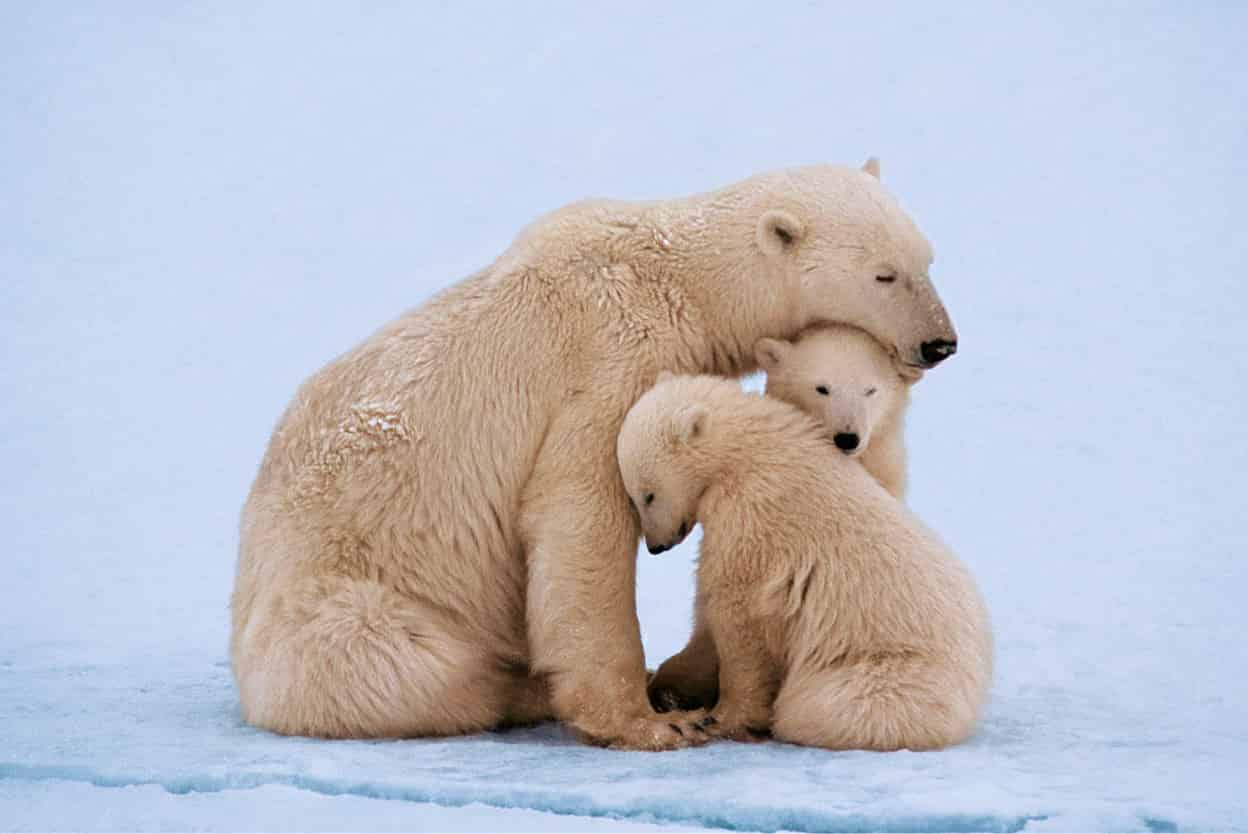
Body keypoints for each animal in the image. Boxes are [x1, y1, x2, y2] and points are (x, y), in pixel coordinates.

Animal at [232, 159, 953, 754]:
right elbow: (580, 519)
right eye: (883, 274)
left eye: (928, 259)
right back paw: (516, 688)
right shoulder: (605, 361)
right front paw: (656, 722)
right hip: (346, 603)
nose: (940, 342)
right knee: (405, 661)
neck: (675, 281)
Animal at [616, 374, 993, 754]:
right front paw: (673, 687)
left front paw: (720, 718)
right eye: (633, 496)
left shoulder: (753, 513)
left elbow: (738, 611)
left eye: (648, 494)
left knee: (819, 707)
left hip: (892, 672)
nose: (656, 546)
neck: (749, 451)